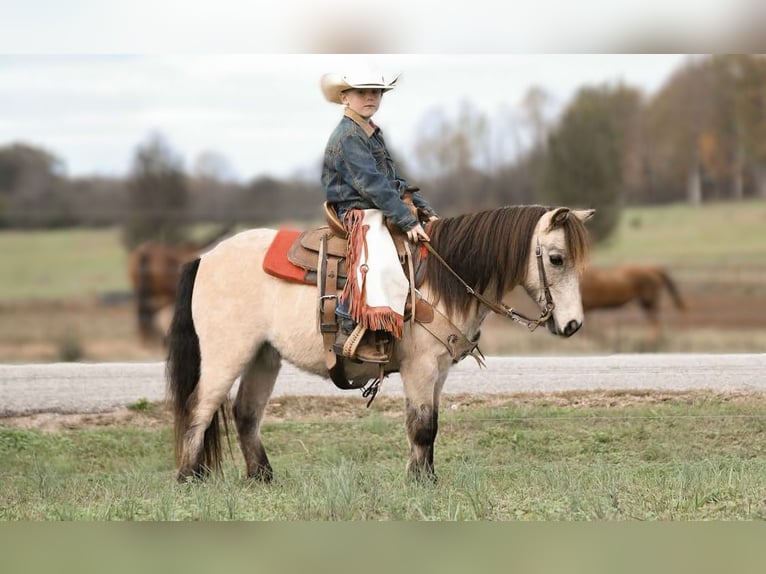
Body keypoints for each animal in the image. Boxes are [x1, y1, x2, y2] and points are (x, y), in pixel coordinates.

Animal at [168, 205, 596, 484]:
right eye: (556, 258)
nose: (573, 324)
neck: (442, 278)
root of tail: (205, 258)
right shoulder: (420, 368)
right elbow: (422, 426)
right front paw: (420, 482)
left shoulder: (438, 372)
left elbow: (429, 424)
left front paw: (425, 475)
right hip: (227, 355)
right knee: (199, 408)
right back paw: (190, 478)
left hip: (263, 357)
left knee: (245, 413)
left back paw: (262, 477)